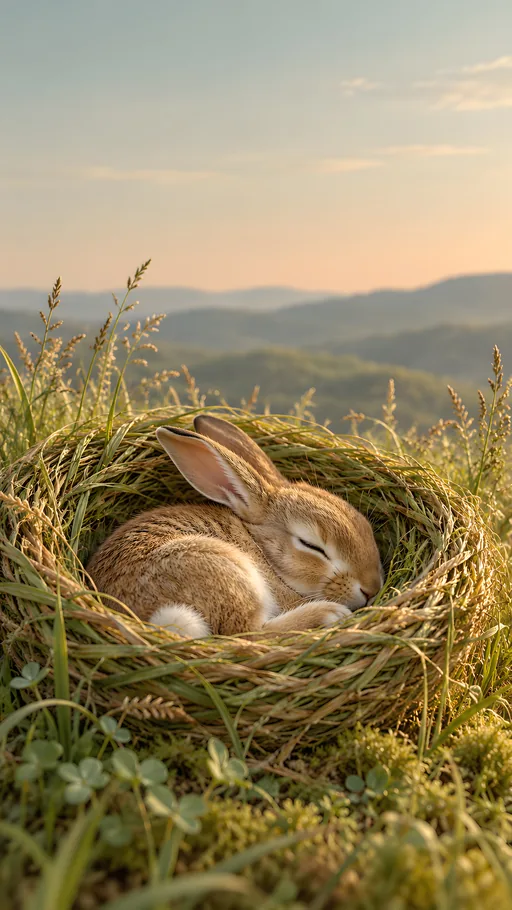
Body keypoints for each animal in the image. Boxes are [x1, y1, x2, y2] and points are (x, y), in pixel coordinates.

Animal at [87, 415, 383, 638]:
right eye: (310, 545)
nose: (371, 590)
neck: (264, 551)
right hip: (224, 569)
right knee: (247, 632)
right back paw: (327, 614)